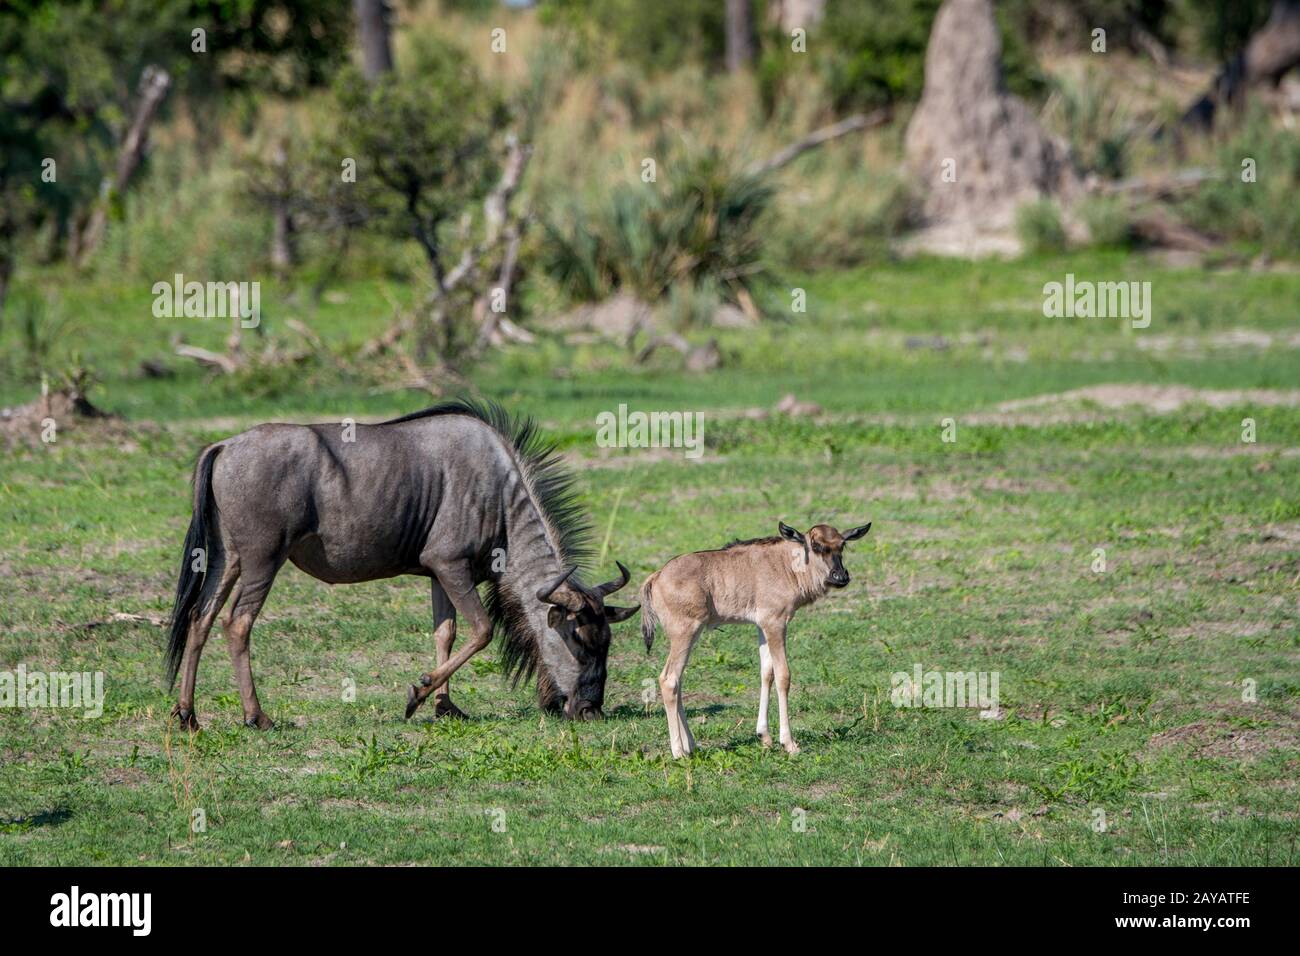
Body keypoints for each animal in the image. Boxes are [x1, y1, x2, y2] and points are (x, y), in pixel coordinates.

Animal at [639, 521, 871, 757]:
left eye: (842, 545)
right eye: (815, 546)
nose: (840, 577)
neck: (787, 565)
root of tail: (656, 577)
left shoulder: (762, 626)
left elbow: (766, 673)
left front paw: (764, 736)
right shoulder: (776, 624)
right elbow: (783, 676)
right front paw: (789, 743)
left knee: (678, 681)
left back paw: (691, 745)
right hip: (685, 633)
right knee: (669, 680)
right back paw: (678, 752)